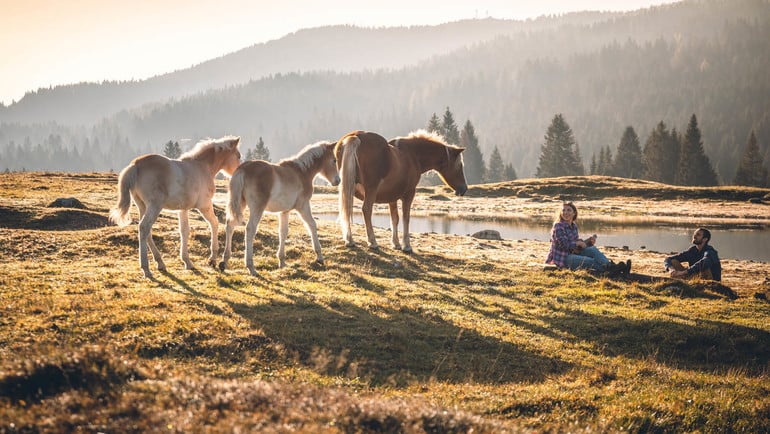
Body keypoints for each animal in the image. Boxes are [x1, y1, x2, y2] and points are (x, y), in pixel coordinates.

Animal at [108, 136, 240, 278]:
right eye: (238, 156)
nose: (237, 173)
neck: (202, 167)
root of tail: (135, 165)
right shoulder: (204, 205)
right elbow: (214, 224)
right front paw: (213, 259)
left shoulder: (183, 209)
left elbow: (184, 231)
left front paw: (187, 261)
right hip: (154, 206)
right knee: (144, 227)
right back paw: (146, 269)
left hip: (142, 206)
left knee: (146, 230)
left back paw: (160, 263)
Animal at [214, 140, 338, 274]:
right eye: (334, 160)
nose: (338, 180)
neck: (301, 172)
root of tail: (243, 169)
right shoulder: (303, 207)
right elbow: (312, 225)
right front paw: (319, 257)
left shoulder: (284, 211)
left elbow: (283, 232)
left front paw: (282, 261)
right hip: (257, 208)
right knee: (250, 229)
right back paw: (251, 267)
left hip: (240, 204)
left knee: (230, 225)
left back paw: (224, 261)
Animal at [336, 130, 468, 251]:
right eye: (460, 165)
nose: (464, 189)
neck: (413, 154)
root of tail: (356, 137)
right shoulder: (409, 193)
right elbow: (406, 217)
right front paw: (406, 245)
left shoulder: (391, 197)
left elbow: (395, 218)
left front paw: (396, 243)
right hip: (371, 190)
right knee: (366, 210)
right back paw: (372, 242)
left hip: (349, 188)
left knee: (347, 208)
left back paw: (350, 240)